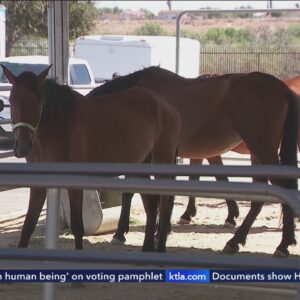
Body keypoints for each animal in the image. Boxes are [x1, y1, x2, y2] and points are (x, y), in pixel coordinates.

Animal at [1, 64, 180, 252]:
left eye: (40, 102)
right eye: (12, 100)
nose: (23, 146)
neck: (57, 125)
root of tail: (167, 106)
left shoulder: (74, 182)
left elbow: (77, 226)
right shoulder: (39, 183)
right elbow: (28, 225)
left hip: (162, 160)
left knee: (165, 204)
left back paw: (160, 247)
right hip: (141, 164)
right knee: (152, 204)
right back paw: (147, 248)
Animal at [88, 67, 298, 256]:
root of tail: (282, 88)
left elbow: (133, 194)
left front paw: (122, 233)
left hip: (262, 149)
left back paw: (281, 245)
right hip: (257, 153)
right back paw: (237, 241)